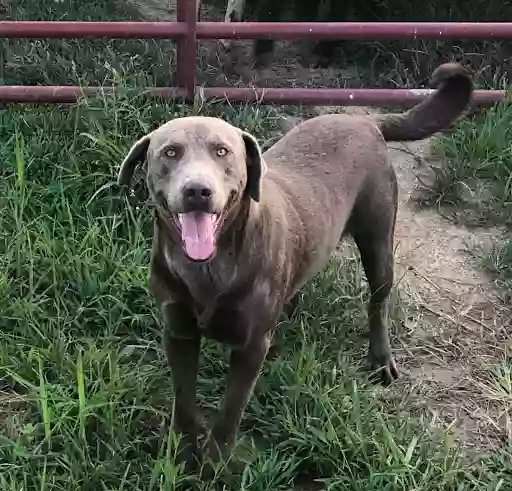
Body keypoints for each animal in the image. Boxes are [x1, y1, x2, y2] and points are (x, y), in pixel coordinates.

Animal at [116, 63, 472, 470]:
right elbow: (183, 398)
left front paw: (216, 462)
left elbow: (230, 409)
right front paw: (180, 450)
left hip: (378, 240)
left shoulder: (249, 346)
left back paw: (380, 357)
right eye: (170, 152)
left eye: (222, 151)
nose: (197, 191)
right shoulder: (178, 332)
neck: (209, 267)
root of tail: (366, 121)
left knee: (379, 301)